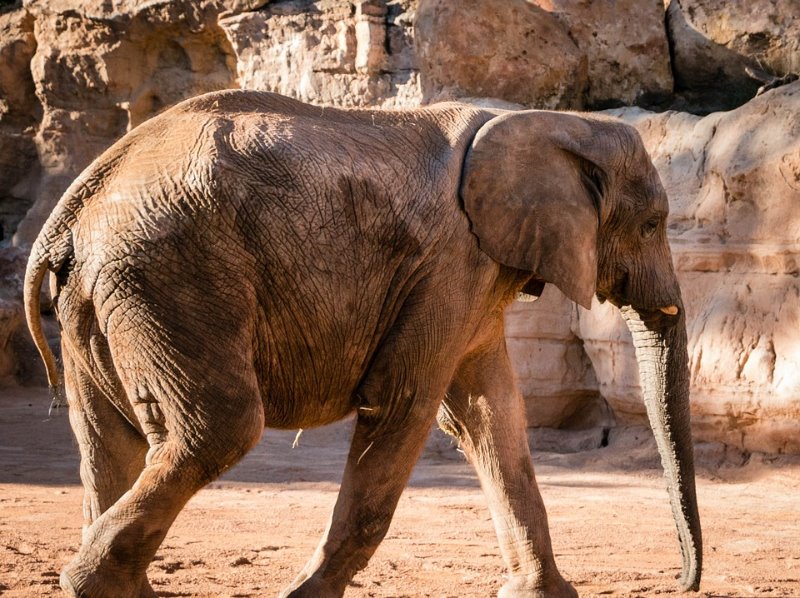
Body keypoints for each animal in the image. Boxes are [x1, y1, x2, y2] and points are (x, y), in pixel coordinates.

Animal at [25, 90, 700, 598]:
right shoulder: (451, 264)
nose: (682, 581)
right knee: (219, 427)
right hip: (170, 275)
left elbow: (492, 415)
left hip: (104, 295)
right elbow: (407, 403)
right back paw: (88, 583)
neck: (544, 120)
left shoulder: (473, 275)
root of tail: (71, 210)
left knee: (106, 436)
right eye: (652, 225)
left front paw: (543, 595)